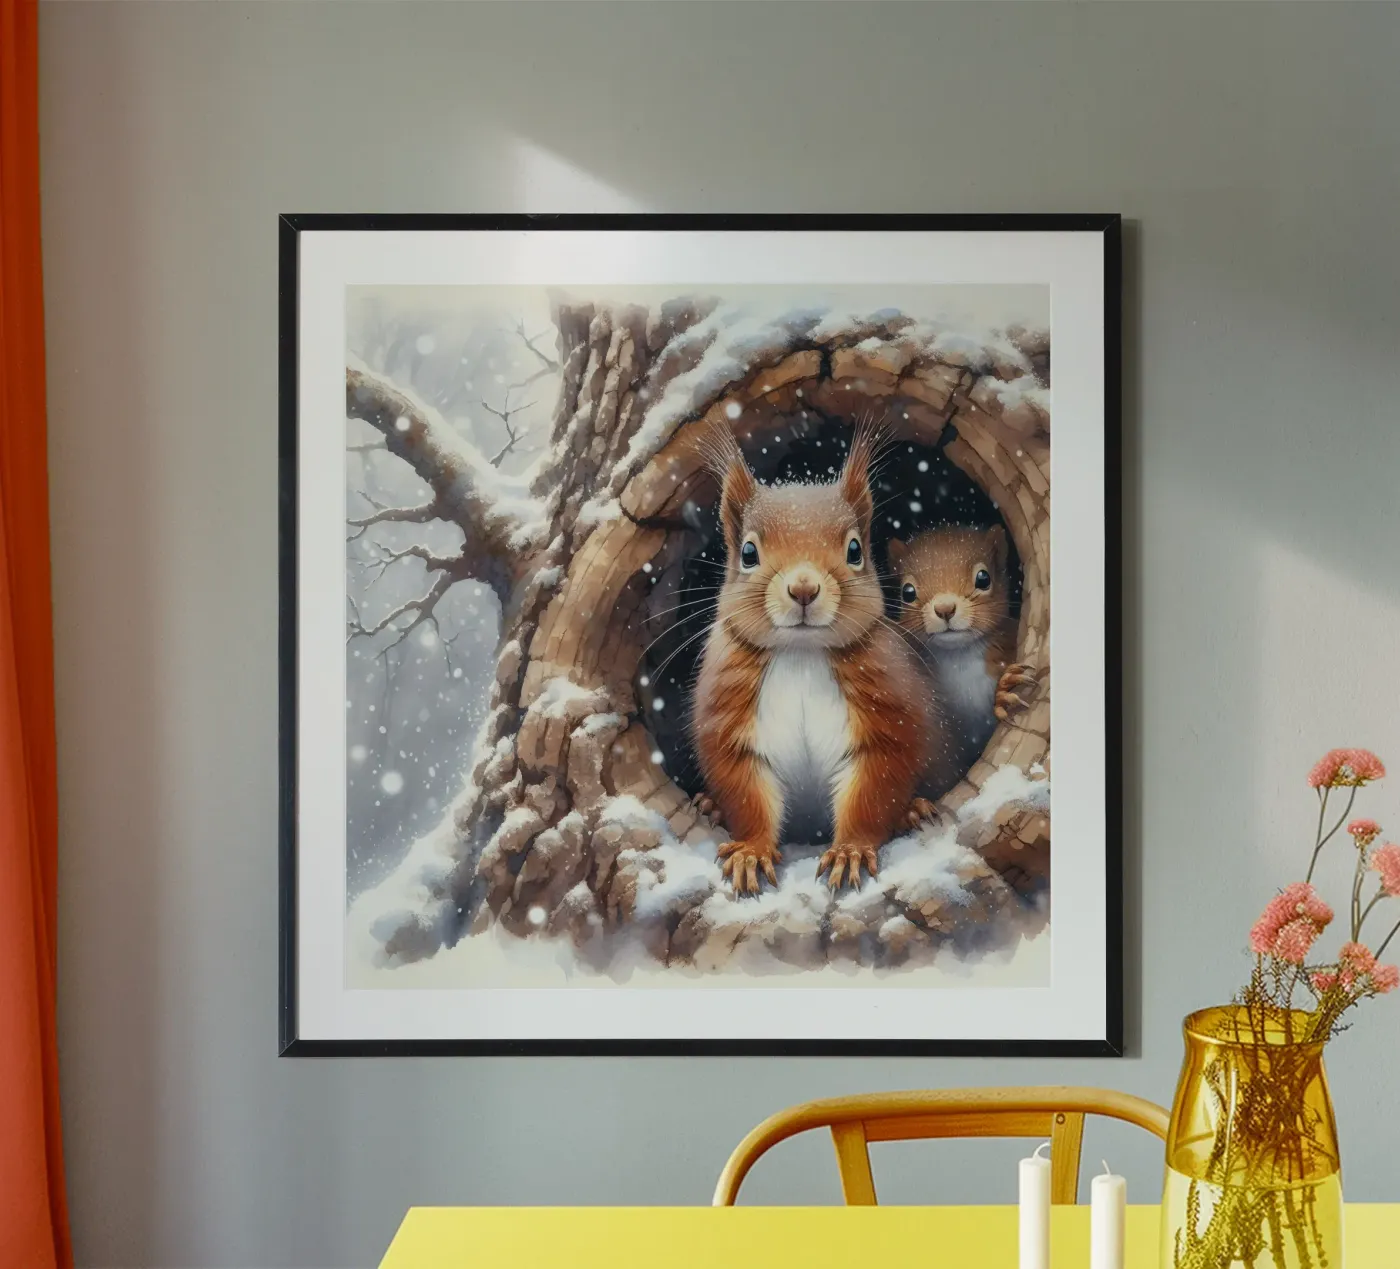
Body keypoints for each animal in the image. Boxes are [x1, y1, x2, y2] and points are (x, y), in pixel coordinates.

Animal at [691, 431, 943, 895]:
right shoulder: (728, 717)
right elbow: (745, 792)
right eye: (748, 552)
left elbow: (875, 787)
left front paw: (850, 852)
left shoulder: (889, 712)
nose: (804, 588)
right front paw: (750, 852)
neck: (801, 654)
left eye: (855, 549)